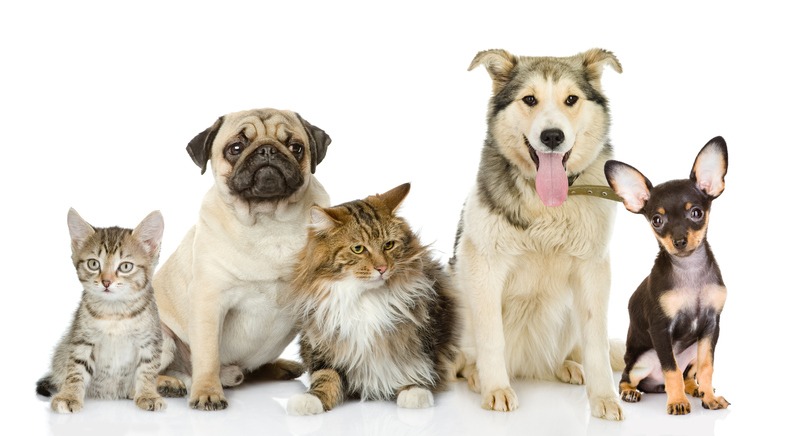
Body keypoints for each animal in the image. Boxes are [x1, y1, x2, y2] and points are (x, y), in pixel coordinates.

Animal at [36, 208, 171, 412]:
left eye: (125, 266)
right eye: (93, 264)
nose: (106, 281)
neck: (115, 313)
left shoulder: (150, 340)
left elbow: (148, 369)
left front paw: (148, 394)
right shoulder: (82, 339)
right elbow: (75, 369)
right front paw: (69, 395)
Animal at [153, 107, 332, 410]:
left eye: (296, 148)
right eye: (235, 148)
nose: (267, 150)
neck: (270, 222)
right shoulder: (210, 302)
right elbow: (207, 356)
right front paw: (207, 392)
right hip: (162, 337)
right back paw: (169, 383)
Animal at [284, 182, 460, 414]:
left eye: (389, 245)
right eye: (358, 249)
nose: (382, 268)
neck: (363, 297)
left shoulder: (420, 330)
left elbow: (416, 364)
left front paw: (414, 390)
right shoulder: (322, 344)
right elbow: (325, 376)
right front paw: (310, 399)